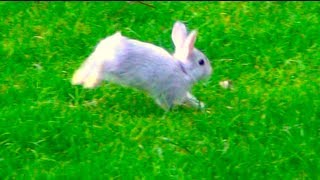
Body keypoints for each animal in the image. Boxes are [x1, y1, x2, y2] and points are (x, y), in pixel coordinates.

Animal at [72, 21, 212, 110]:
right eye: (201, 62)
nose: (211, 72)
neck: (183, 69)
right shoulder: (169, 91)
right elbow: (168, 104)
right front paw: (172, 112)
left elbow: (189, 98)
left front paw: (200, 106)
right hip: (109, 65)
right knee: (97, 70)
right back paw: (90, 84)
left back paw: (76, 81)